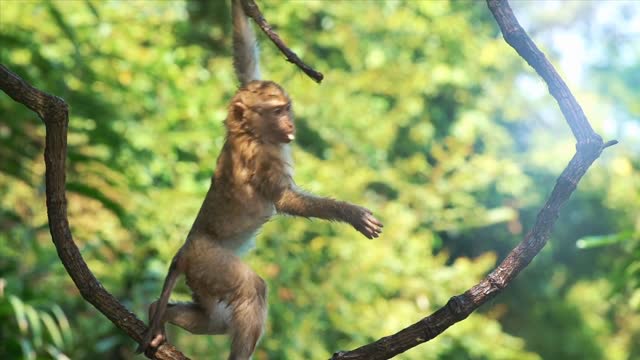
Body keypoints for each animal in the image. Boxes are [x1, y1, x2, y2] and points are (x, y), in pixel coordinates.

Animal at [136, 1, 380, 358]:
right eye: (277, 111)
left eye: (286, 108)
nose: (290, 125)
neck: (251, 133)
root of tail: (185, 250)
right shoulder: (263, 159)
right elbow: (283, 199)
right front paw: (352, 214)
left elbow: (246, 65)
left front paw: (243, 8)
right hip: (210, 262)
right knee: (251, 290)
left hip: (200, 276)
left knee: (213, 319)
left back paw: (157, 311)